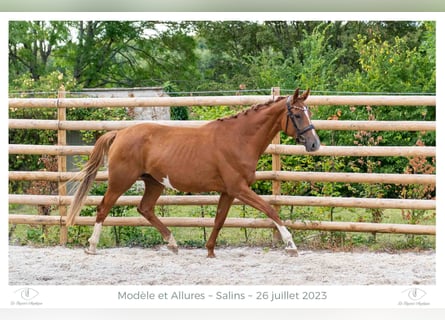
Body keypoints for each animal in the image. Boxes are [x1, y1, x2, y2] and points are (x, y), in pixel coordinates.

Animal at [66, 87, 320, 258]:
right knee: (103, 208)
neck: (239, 139)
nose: (314, 144)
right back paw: (92, 247)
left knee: (145, 209)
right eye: (298, 115)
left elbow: (219, 219)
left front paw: (210, 251)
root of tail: (120, 133)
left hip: (154, 183)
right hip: (121, 181)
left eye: (308, 112)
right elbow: (270, 210)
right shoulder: (239, 188)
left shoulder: (228, 192)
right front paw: (291, 246)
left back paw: (172, 243)